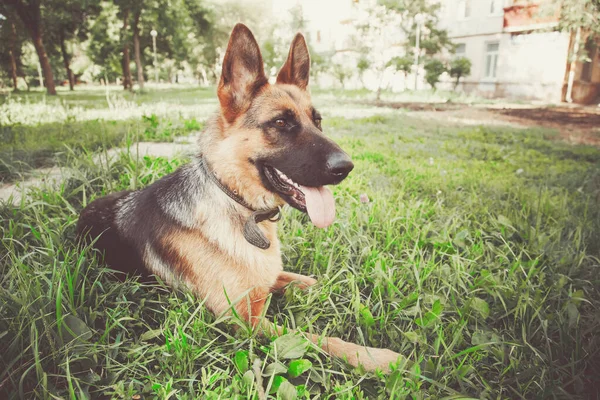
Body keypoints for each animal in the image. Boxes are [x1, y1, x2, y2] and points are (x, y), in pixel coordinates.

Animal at [77, 21, 400, 372]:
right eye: (281, 122)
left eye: (318, 121)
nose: (346, 167)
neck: (238, 204)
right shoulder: (246, 322)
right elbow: (315, 338)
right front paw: (374, 357)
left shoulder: (265, 282)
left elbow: (305, 279)